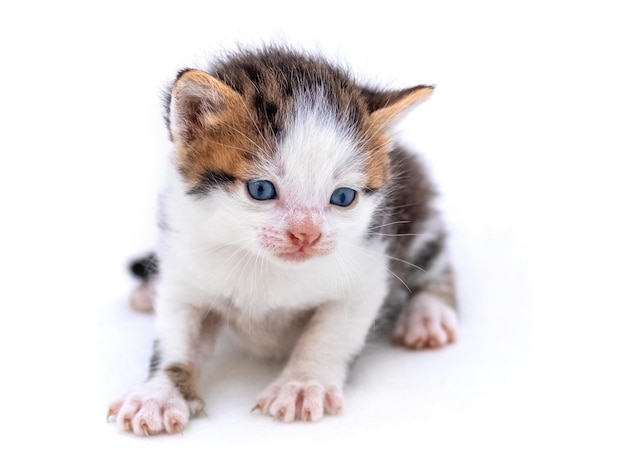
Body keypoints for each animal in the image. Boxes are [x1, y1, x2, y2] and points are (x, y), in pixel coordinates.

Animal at [109, 47, 456, 436]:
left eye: (344, 197)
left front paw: (303, 384)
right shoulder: (185, 261)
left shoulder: (368, 264)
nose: (306, 234)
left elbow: (330, 332)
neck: (264, 264)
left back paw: (427, 314)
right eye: (261, 189)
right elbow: (176, 335)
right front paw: (158, 394)